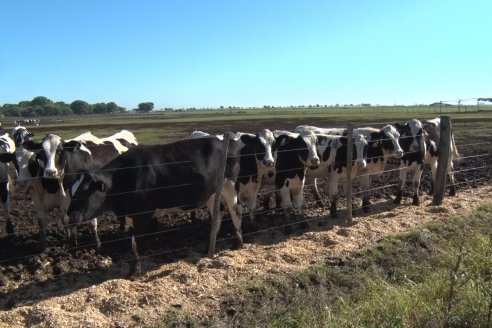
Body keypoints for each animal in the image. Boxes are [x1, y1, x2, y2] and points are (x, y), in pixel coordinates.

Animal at [65, 136, 242, 276]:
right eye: (72, 193)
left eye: (85, 192)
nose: (69, 217)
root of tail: (227, 140)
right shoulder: (131, 216)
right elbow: (134, 244)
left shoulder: (142, 215)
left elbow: (136, 243)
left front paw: (134, 272)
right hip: (212, 193)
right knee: (218, 214)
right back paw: (208, 248)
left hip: (229, 186)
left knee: (236, 211)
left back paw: (238, 243)